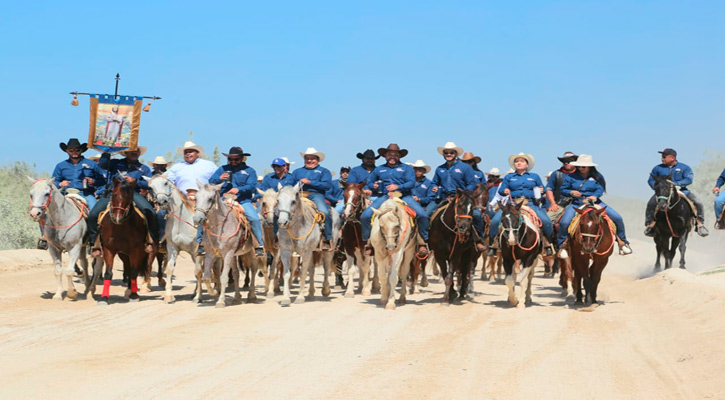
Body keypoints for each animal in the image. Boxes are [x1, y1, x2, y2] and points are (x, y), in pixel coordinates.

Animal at [147, 175, 204, 304]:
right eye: (151, 187)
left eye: (165, 183)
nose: (162, 201)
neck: (182, 222)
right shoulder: (172, 248)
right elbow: (169, 269)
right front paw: (168, 296)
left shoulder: (196, 250)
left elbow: (198, 272)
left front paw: (198, 297)